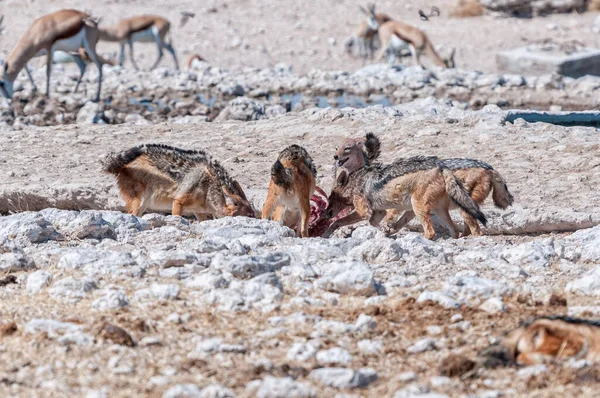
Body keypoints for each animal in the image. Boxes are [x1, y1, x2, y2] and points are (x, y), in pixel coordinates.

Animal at [101, 144, 255, 219]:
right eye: (249, 217)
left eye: (253, 215)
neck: (209, 189)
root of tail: (121, 166)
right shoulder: (178, 202)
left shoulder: (198, 212)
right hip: (139, 203)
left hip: (143, 205)